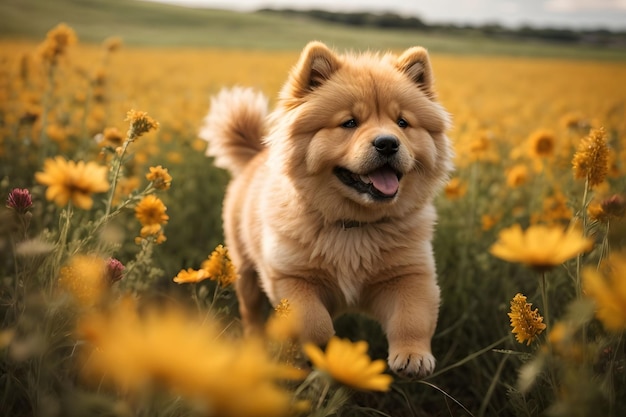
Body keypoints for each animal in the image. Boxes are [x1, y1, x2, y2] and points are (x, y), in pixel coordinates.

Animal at [202, 41, 450, 376]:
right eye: (349, 123)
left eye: (402, 123)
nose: (388, 143)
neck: (353, 226)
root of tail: (255, 155)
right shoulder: (290, 277)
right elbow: (313, 321)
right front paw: (322, 353)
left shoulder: (410, 274)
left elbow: (412, 317)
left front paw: (413, 358)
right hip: (245, 271)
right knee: (251, 312)